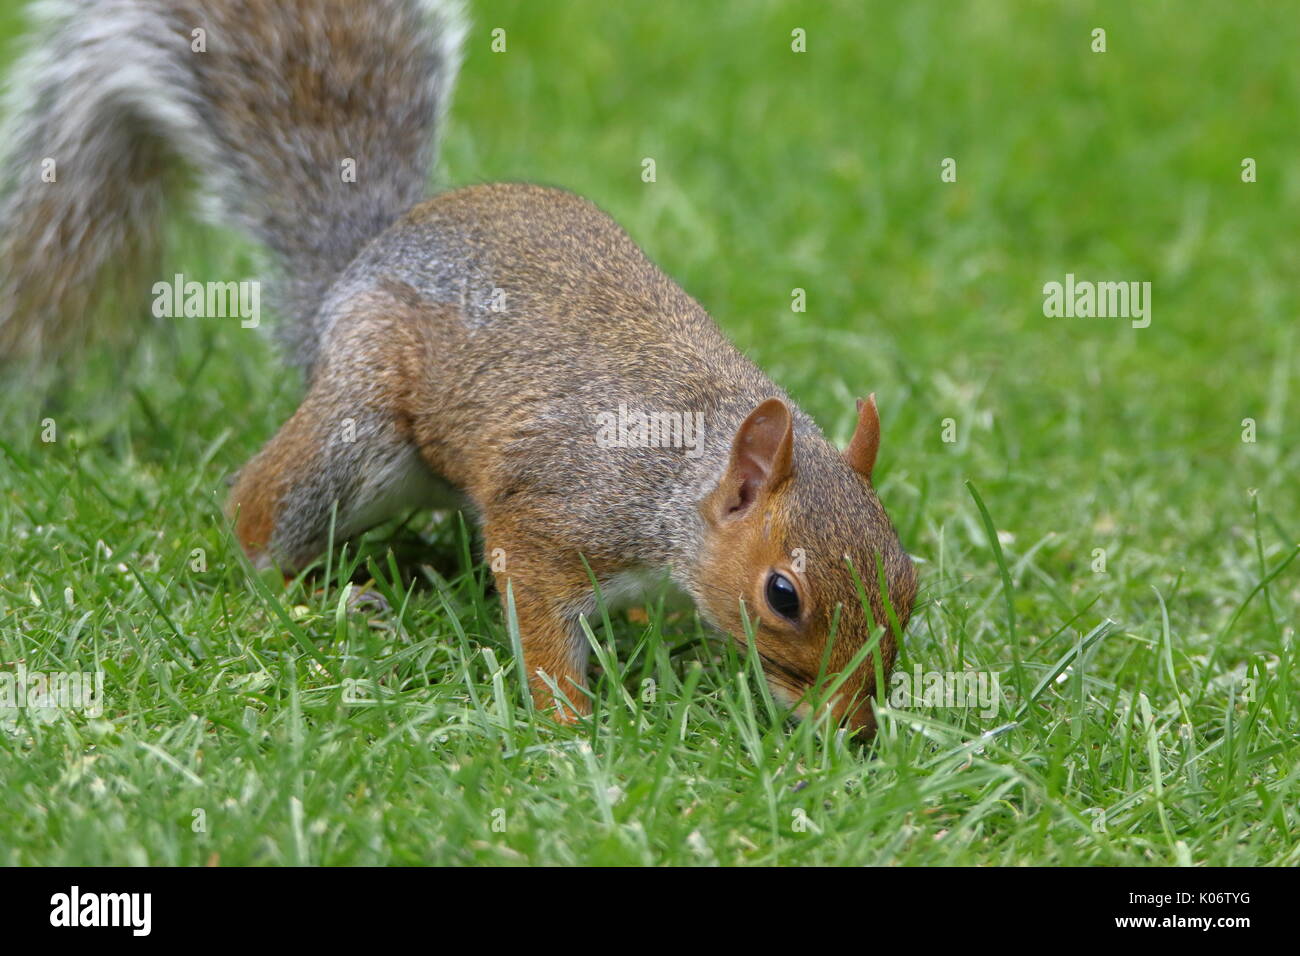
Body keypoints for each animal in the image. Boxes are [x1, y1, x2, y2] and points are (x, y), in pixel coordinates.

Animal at [2, 0, 915, 738]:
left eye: (908, 581)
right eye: (783, 595)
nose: (853, 731)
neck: (678, 481)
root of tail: (351, 275)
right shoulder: (549, 518)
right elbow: (543, 629)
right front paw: (570, 726)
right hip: (360, 430)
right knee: (258, 520)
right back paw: (322, 596)